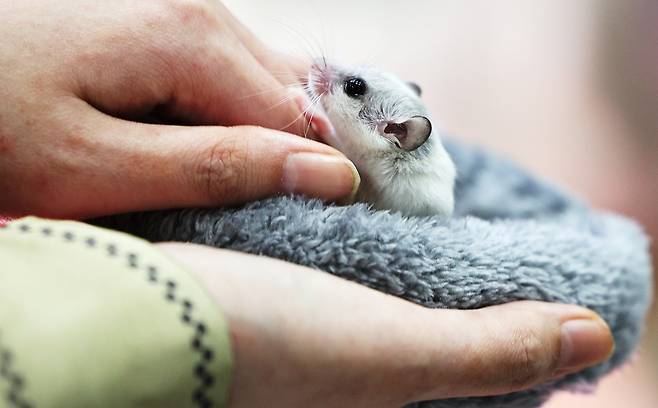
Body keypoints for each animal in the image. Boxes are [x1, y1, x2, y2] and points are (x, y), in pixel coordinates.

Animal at [297, 60, 456, 217]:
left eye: (355, 86)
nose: (313, 64)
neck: (389, 152)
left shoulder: (356, 156)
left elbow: (329, 130)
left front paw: (304, 103)